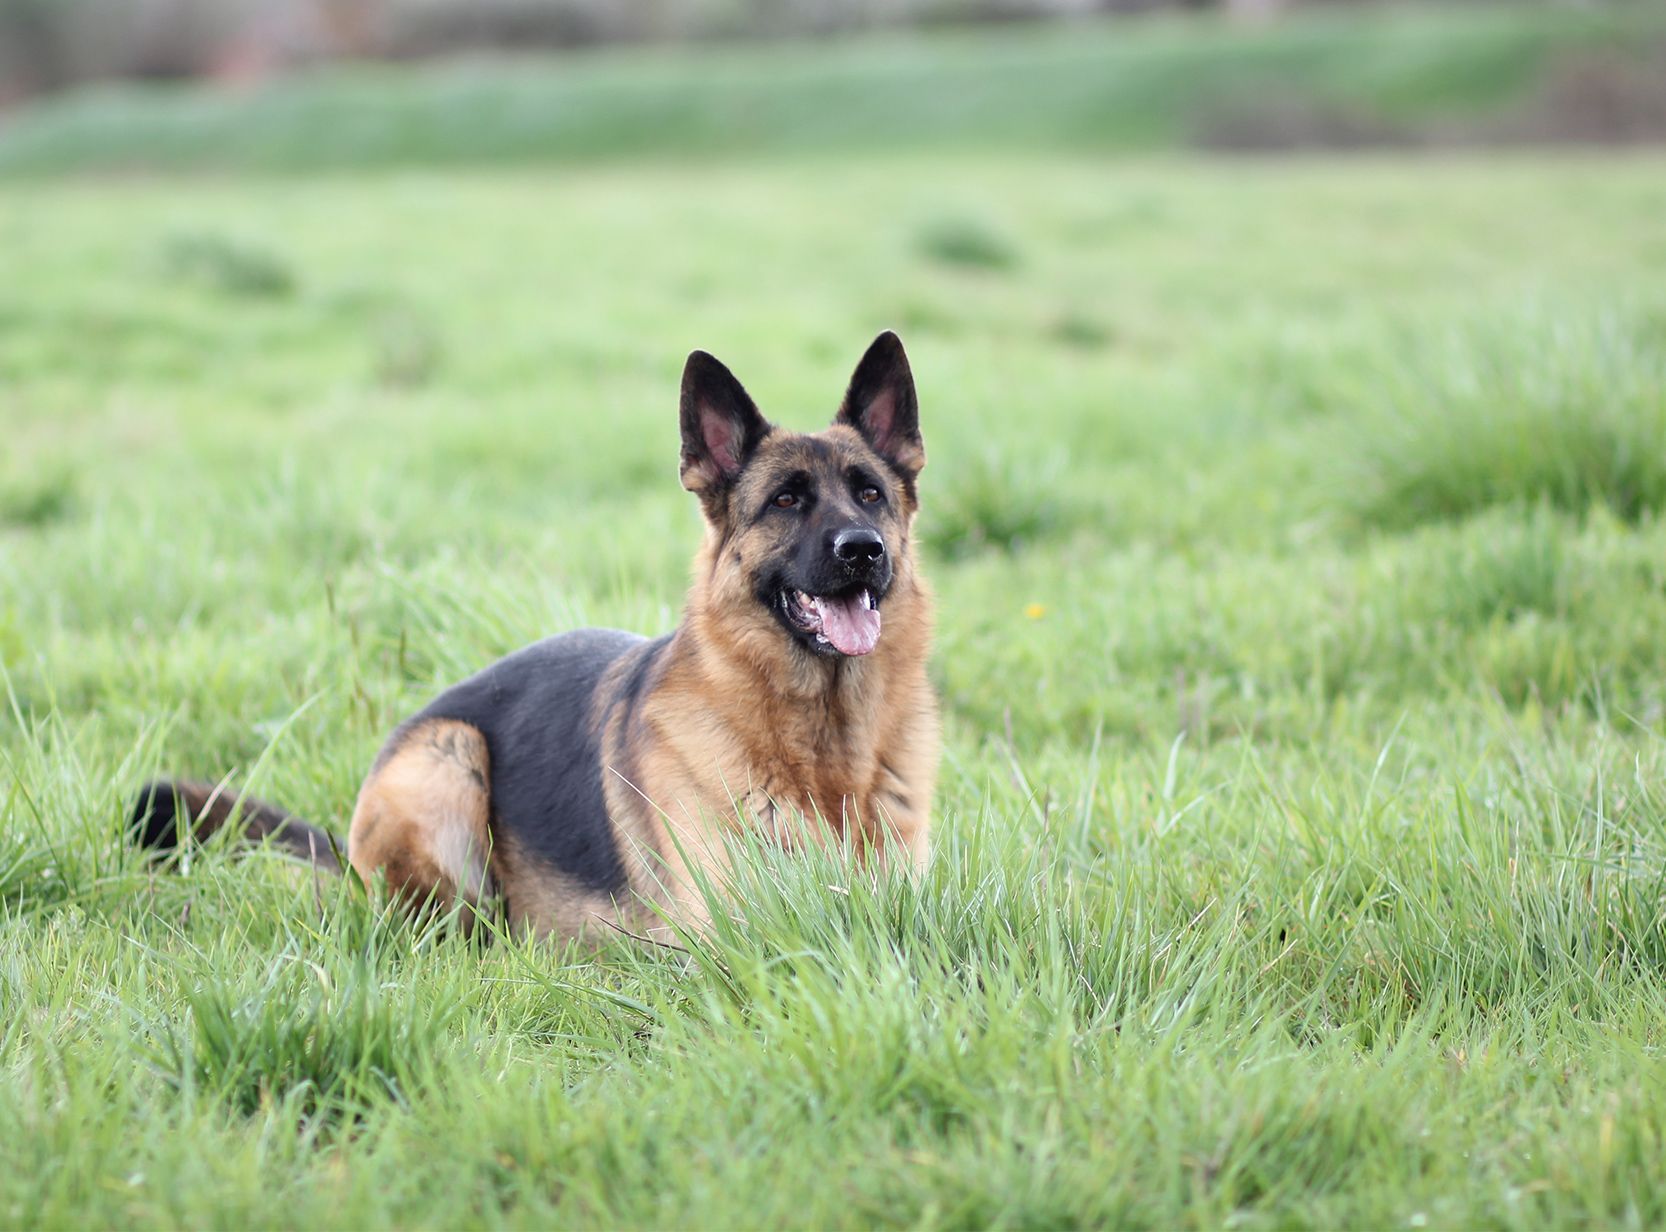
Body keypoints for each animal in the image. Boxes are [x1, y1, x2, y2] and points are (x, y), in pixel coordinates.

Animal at [133, 331, 939, 940]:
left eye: (870, 492)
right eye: (786, 501)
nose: (863, 549)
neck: (825, 750)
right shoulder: (728, 933)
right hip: (450, 758)